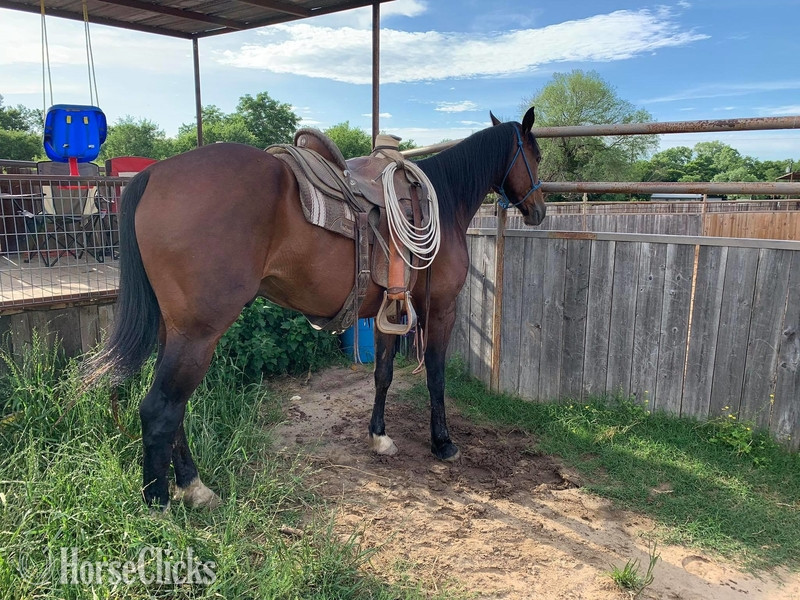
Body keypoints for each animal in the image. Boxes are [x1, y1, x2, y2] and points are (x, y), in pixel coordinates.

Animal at [84, 107, 546, 510]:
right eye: (536, 155)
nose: (539, 210)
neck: (442, 201)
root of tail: (154, 173)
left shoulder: (390, 312)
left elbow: (382, 375)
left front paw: (379, 436)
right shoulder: (440, 308)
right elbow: (435, 376)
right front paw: (443, 443)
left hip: (175, 331)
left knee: (175, 409)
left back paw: (193, 487)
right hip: (199, 334)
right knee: (161, 408)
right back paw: (160, 502)